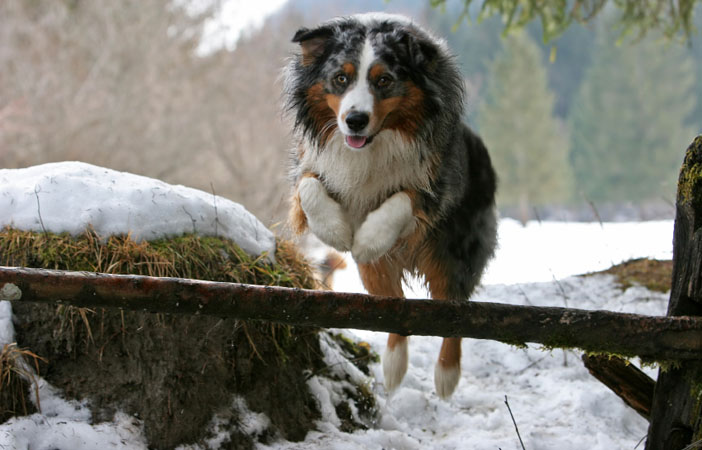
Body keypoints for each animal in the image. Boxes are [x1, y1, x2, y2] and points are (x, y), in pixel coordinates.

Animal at [284, 12, 498, 400]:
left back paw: (447, 376)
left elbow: (401, 199)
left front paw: (370, 237)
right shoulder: (310, 162)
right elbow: (308, 186)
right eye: (341, 78)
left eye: (383, 80)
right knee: (395, 310)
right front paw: (336, 230)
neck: (374, 143)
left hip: (452, 252)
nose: (354, 120)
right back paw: (393, 368)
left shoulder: (437, 186)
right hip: (374, 273)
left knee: (455, 309)